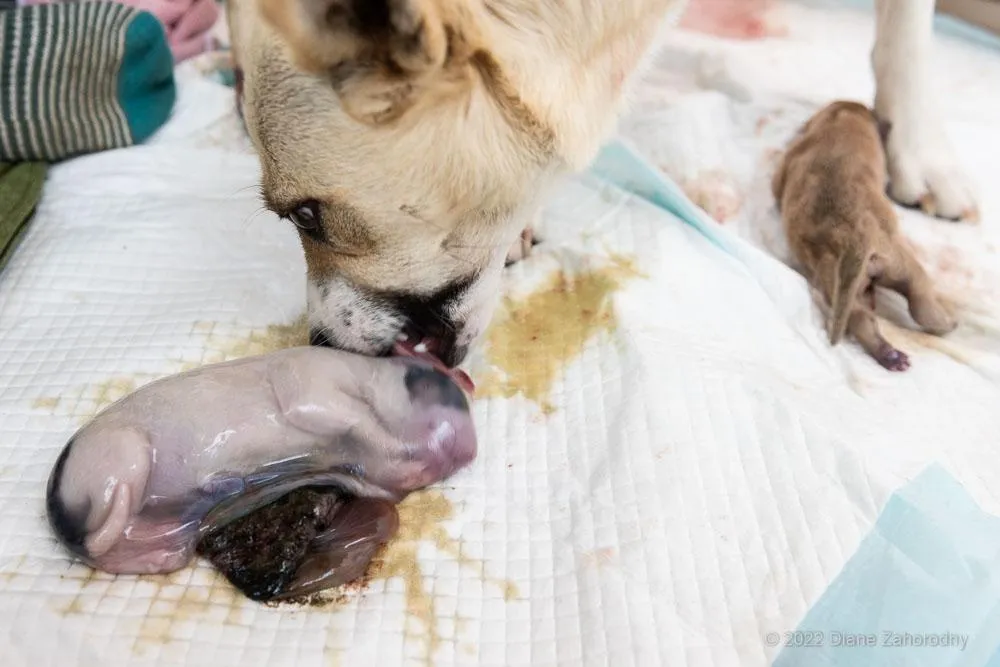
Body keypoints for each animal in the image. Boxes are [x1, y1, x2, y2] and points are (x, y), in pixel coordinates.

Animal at [768, 100, 956, 370]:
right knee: (918, 296)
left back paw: (891, 354)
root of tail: (854, 237)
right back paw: (944, 325)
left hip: (843, 282)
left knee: (862, 318)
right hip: (899, 264)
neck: (841, 118)